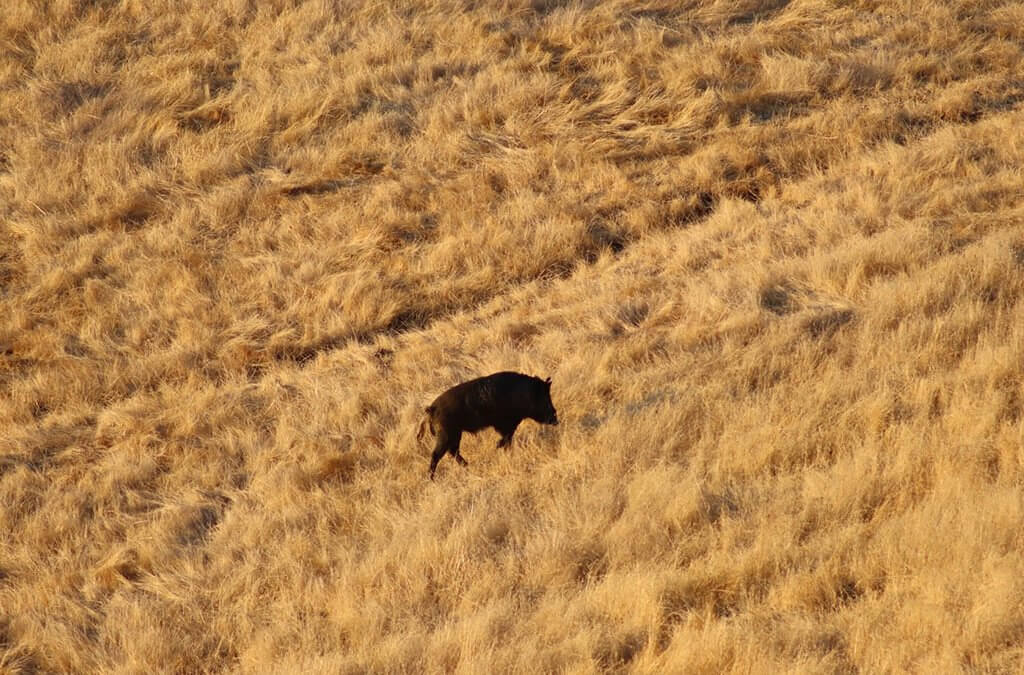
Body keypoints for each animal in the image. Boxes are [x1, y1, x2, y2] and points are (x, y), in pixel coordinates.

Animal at [417, 371, 559, 479]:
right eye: (544, 398)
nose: (556, 419)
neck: (523, 393)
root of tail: (432, 409)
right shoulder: (506, 424)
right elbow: (507, 438)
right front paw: (497, 446)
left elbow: (508, 440)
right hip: (447, 435)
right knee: (437, 454)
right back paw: (432, 478)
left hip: (455, 435)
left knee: (453, 451)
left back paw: (467, 466)